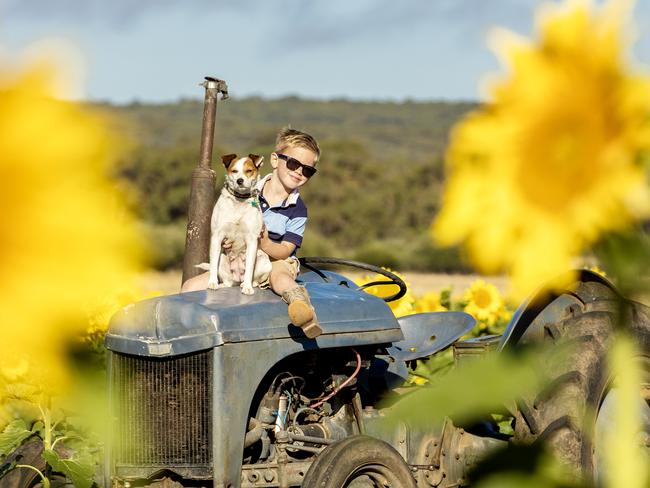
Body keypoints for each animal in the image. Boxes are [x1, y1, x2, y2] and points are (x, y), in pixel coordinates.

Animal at [202, 154, 274, 296]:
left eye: (249, 170)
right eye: (234, 171)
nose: (240, 180)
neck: (239, 200)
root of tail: (237, 277)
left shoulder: (252, 240)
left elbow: (250, 268)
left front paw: (247, 288)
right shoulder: (217, 237)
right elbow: (213, 265)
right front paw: (212, 283)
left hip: (264, 260)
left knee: (254, 280)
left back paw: (245, 284)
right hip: (223, 259)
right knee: (227, 281)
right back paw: (223, 284)